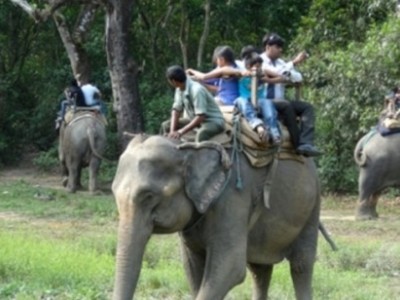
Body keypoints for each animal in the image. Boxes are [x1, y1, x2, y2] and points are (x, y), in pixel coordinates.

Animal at [111, 135, 320, 300]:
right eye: (113, 192)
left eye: (149, 196)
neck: (187, 147)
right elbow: (192, 268)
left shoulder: (232, 199)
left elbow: (231, 268)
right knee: (259, 269)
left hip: (312, 206)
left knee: (301, 265)